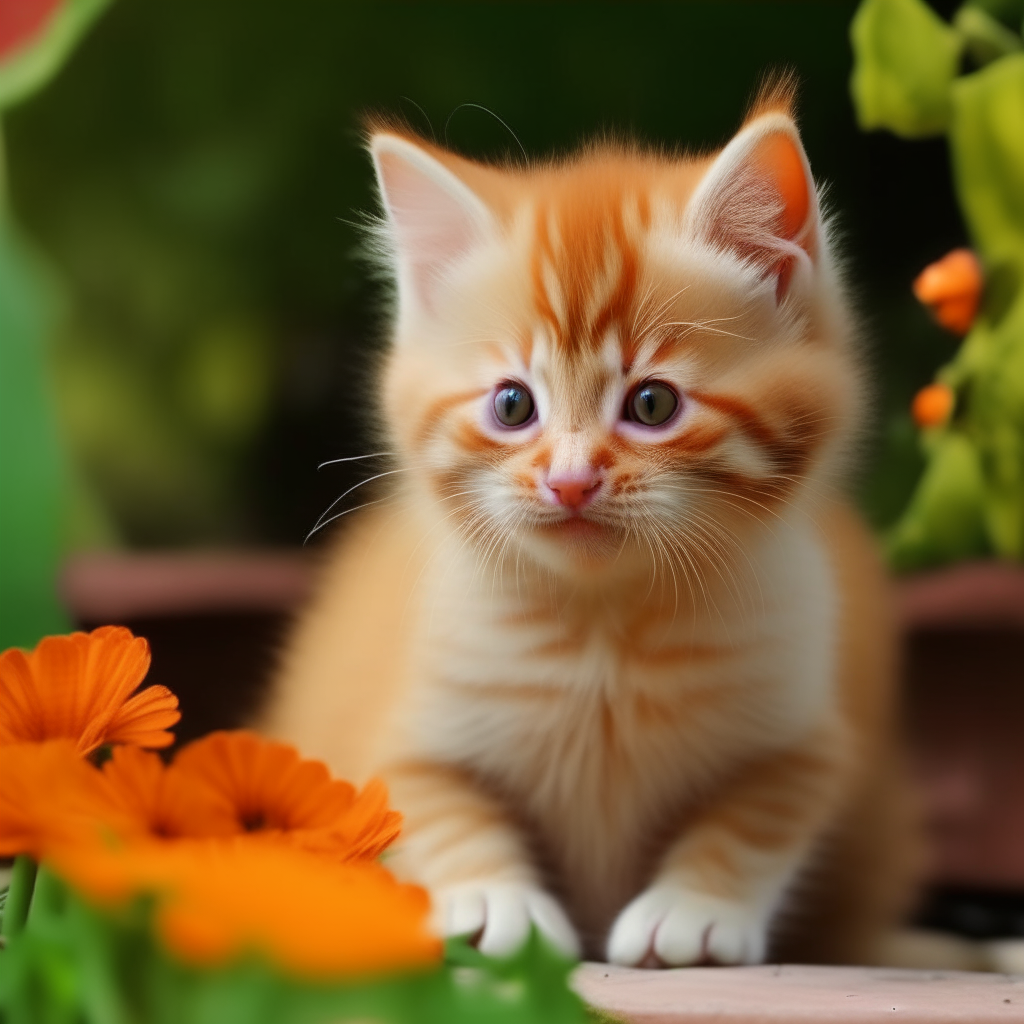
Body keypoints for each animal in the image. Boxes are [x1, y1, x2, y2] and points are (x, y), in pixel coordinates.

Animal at [258, 81, 921, 966]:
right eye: (513, 405)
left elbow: (760, 813)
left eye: (653, 404)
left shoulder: (808, 733)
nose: (571, 480)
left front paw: (694, 908)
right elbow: (440, 808)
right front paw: (490, 901)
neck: (605, 630)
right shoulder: (394, 736)